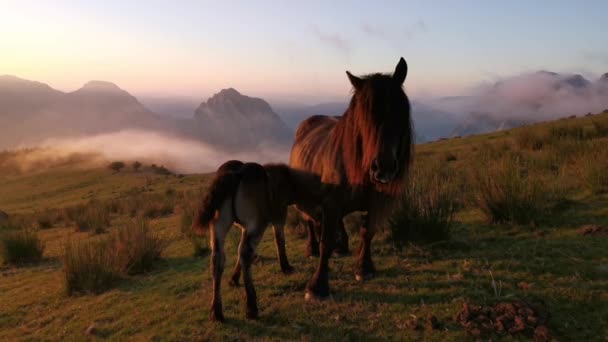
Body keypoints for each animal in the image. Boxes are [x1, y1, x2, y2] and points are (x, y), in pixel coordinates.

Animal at [290, 58, 414, 300]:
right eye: (363, 118)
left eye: (400, 111)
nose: (383, 169)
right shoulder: (330, 203)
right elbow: (326, 241)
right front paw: (317, 286)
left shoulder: (374, 202)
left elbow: (368, 232)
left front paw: (364, 268)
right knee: (309, 221)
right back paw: (312, 248)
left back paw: (342, 246)